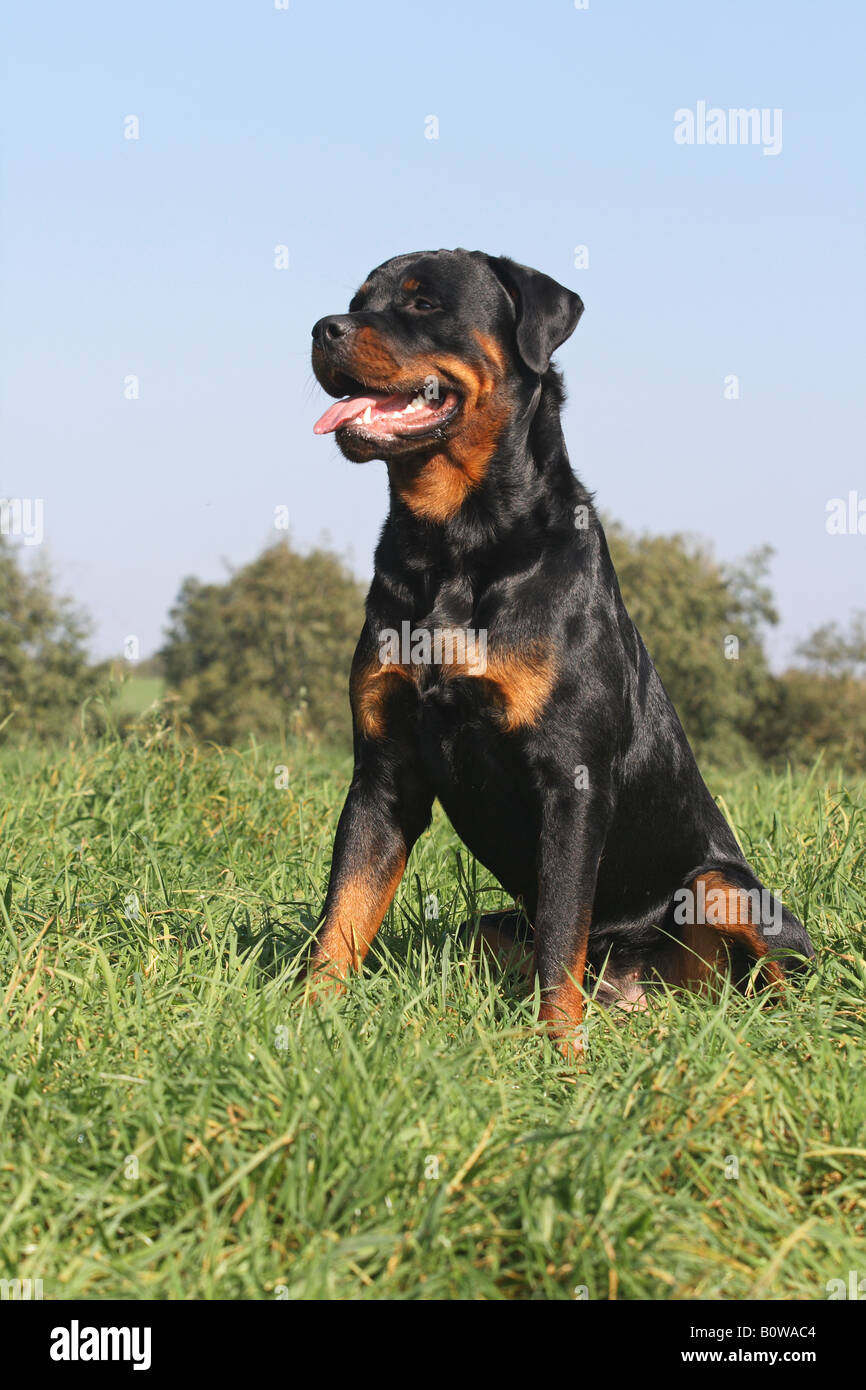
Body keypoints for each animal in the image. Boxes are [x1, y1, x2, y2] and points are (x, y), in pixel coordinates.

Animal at [308, 247, 817, 1050]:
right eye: (357, 301)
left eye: (422, 304)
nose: (323, 328)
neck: (453, 544)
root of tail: (640, 988)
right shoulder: (383, 774)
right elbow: (344, 916)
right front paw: (304, 1020)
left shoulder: (570, 779)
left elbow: (560, 932)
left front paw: (559, 1053)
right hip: (490, 926)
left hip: (722, 887)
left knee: (777, 977)